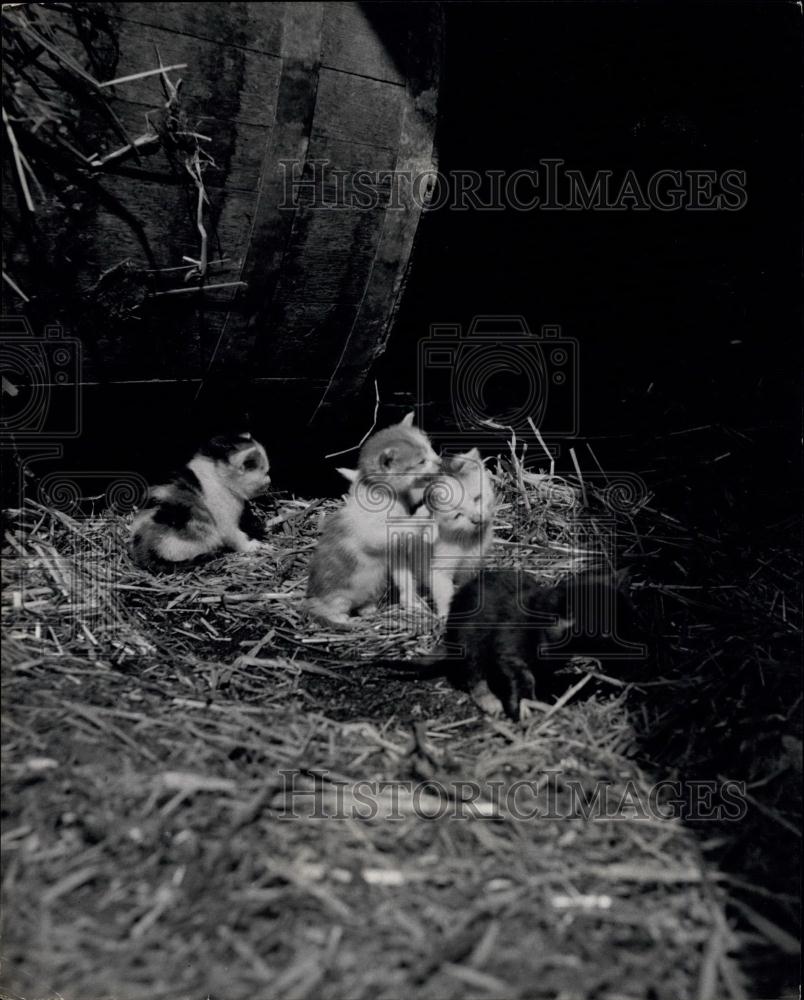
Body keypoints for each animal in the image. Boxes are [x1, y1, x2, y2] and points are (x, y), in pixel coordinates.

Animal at [130, 432, 272, 572]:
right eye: (266, 472)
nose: (269, 481)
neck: (218, 476)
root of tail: (147, 549)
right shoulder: (225, 522)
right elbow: (237, 537)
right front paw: (252, 546)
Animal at [304, 414, 440, 624]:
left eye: (430, 447)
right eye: (421, 461)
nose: (440, 462)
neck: (389, 495)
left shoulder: (395, 549)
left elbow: (404, 575)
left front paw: (411, 601)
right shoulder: (374, 534)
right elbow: (402, 526)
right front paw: (425, 508)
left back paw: (369, 610)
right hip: (336, 597)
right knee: (329, 611)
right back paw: (344, 621)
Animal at [420, 448, 496, 616]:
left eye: (477, 498)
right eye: (457, 515)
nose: (477, 519)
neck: (467, 541)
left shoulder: (471, 565)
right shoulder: (438, 570)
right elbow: (445, 593)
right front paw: (446, 615)